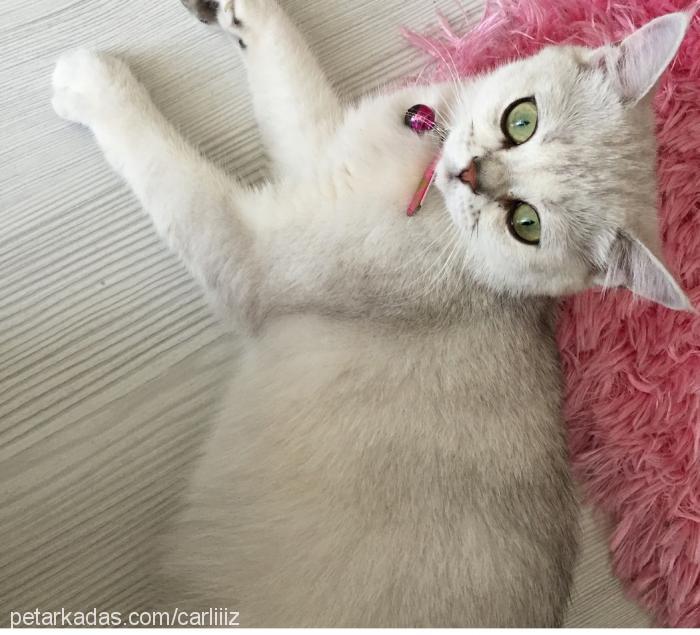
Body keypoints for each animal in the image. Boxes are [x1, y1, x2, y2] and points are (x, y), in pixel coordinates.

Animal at [50, 0, 696, 628]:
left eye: (526, 223)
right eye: (522, 120)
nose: (469, 173)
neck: (428, 192)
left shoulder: (250, 251)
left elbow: (167, 163)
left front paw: (89, 83)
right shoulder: (322, 154)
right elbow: (293, 74)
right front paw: (242, 13)